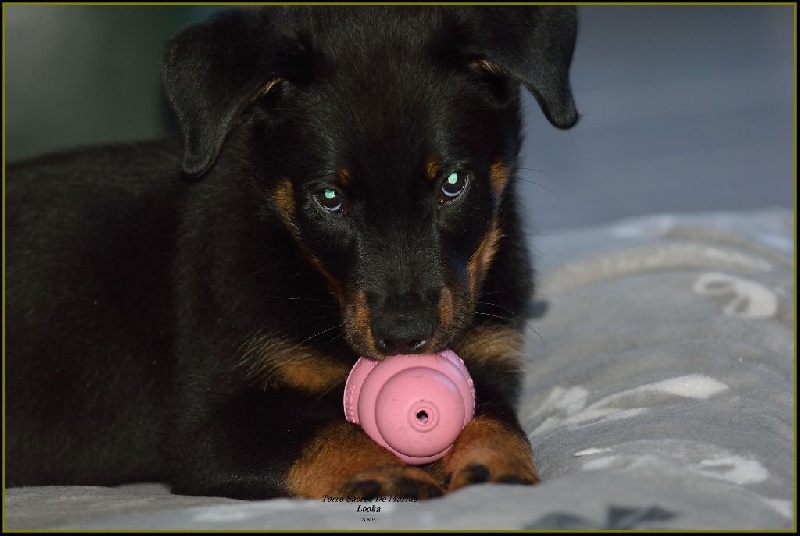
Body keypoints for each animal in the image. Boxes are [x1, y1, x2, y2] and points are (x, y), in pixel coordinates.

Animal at [7, 6, 580, 500]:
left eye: (453, 184)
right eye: (328, 198)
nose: (405, 338)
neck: (298, 263)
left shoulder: (487, 364)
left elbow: (495, 420)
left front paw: (493, 465)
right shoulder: (210, 425)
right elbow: (328, 432)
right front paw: (385, 472)